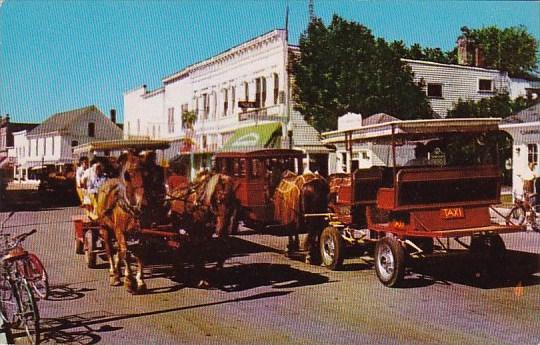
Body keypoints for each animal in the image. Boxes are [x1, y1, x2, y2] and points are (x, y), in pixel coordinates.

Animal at [96, 151, 148, 292]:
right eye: (127, 174)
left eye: (146, 172)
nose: (143, 204)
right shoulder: (120, 231)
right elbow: (126, 254)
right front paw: (129, 281)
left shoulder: (141, 233)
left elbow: (140, 253)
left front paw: (140, 280)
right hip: (105, 228)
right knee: (109, 248)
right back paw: (114, 273)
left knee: (118, 250)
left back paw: (118, 269)